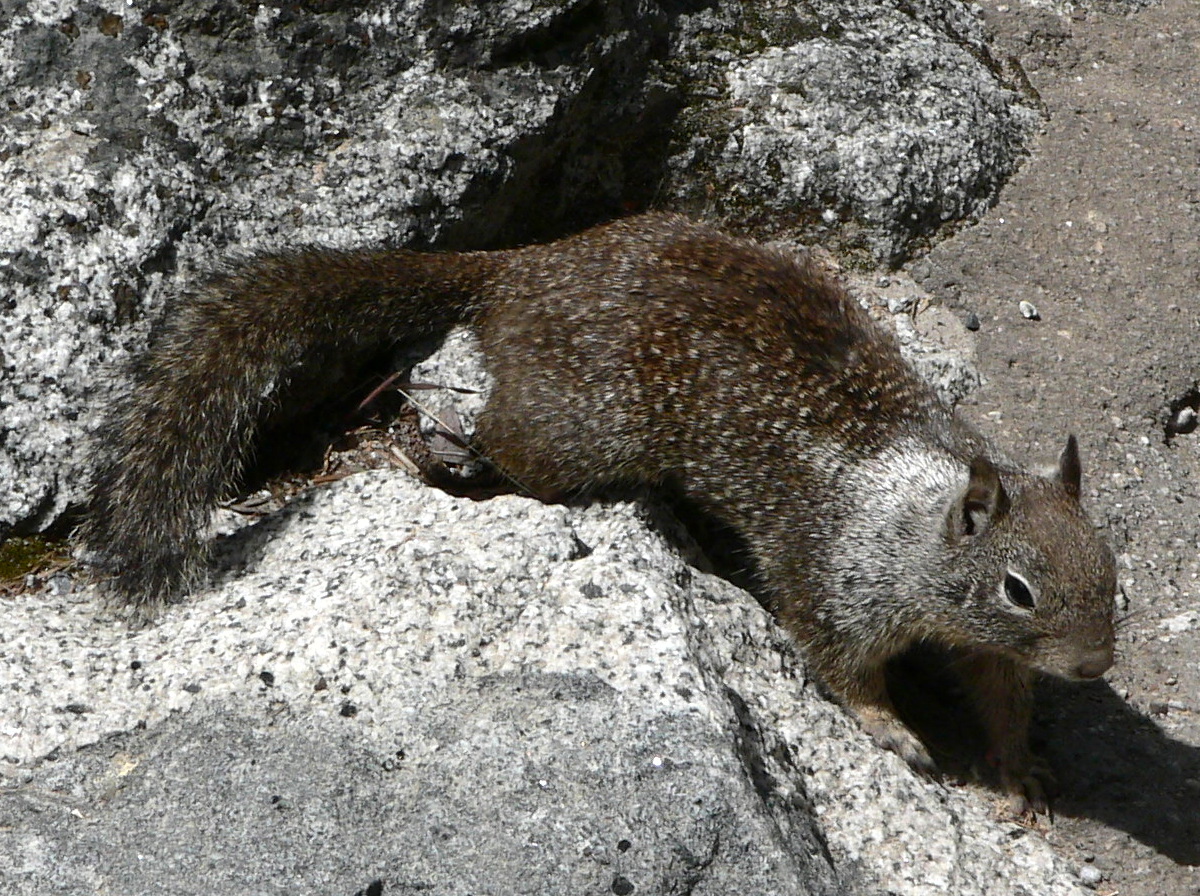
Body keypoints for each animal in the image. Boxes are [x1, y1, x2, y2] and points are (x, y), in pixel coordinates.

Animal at [81, 212, 1116, 811]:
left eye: (1112, 579)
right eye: (1019, 589)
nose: (1096, 667)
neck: (916, 526)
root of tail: (521, 268)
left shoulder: (981, 649)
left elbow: (1000, 694)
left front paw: (1017, 767)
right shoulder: (834, 576)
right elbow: (838, 662)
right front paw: (892, 729)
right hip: (577, 431)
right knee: (499, 431)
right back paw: (449, 450)